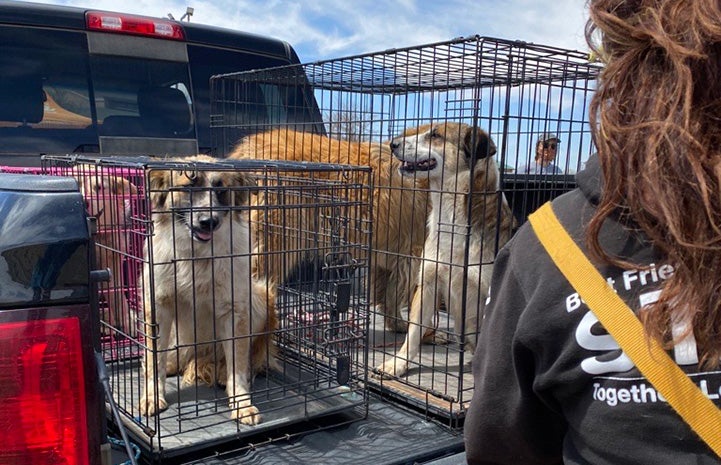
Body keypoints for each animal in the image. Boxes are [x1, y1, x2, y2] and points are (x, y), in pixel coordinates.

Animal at [138, 156, 276, 424]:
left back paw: (222, 373)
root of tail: (201, 356)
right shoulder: (158, 305)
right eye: (188, 188)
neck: (196, 257)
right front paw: (151, 395)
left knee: (246, 359)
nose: (208, 222)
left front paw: (241, 403)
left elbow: (237, 363)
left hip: (260, 296)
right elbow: (154, 358)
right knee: (169, 359)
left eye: (221, 190)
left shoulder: (235, 310)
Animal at [228, 129, 428, 332]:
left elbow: (385, 291)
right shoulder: (412, 253)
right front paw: (405, 325)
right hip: (277, 242)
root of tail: (246, 151)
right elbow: (399, 293)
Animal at [374, 123, 516, 376]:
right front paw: (398, 363)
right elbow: (413, 332)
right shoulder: (428, 283)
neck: (452, 217)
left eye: (435, 135)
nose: (393, 144)